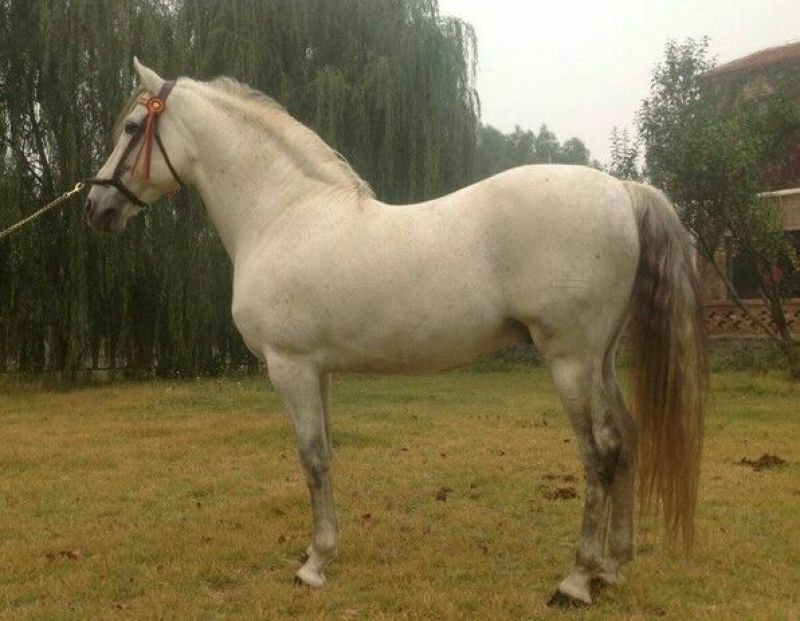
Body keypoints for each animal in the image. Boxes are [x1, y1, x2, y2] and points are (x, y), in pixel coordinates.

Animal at [85, 59, 706, 607]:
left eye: (132, 128)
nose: (96, 206)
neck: (285, 215)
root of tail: (622, 190)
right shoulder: (318, 369)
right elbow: (326, 455)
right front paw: (324, 552)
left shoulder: (290, 366)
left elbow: (311, 458)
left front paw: (312, 565)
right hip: (601, 359)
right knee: (628, 438)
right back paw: (614, 567)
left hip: (571, 361)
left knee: (600, 452)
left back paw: (577, 580)